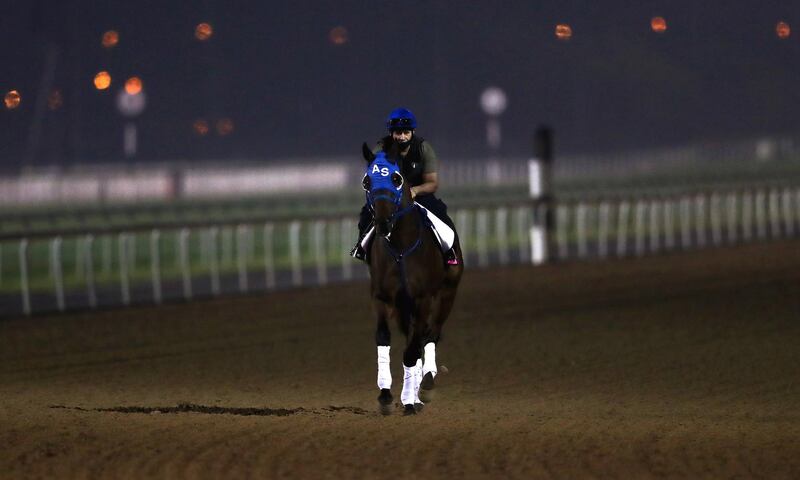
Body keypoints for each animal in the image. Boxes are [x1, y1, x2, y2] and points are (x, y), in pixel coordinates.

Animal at [360, 142, 466, 412]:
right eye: (367, 181)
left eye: (396, 178)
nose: (383, 222)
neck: (400, 246)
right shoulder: (382, 297)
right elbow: (383, 338)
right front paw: (385, 394)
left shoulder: (423, 298)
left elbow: (414, 348)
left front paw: (409, 399)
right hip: (403, 306)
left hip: (448, 292)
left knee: (431, 334)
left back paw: (425, 383)